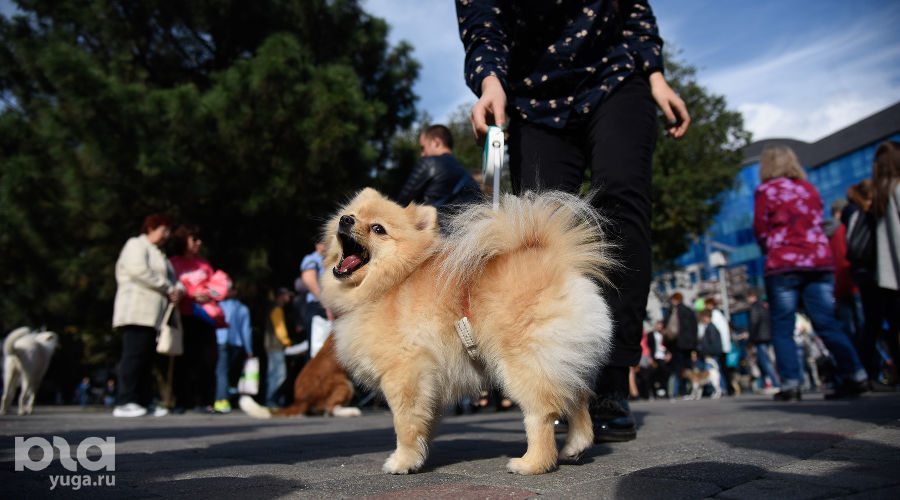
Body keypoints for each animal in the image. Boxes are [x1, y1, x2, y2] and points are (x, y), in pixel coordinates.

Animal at [320, 186, 616, 474]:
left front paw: (402, 461)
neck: (391, 282)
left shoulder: (405, 374)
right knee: (578, 398)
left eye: (378, 228)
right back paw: (574, 448)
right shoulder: (429, 382)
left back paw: (531, 463)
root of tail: (553, 259)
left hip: (523, 363)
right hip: (563, 358)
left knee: (542, 413)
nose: (345, 220)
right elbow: (424, 423)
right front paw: (418, 457)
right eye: (351, 214)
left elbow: (405, 423)